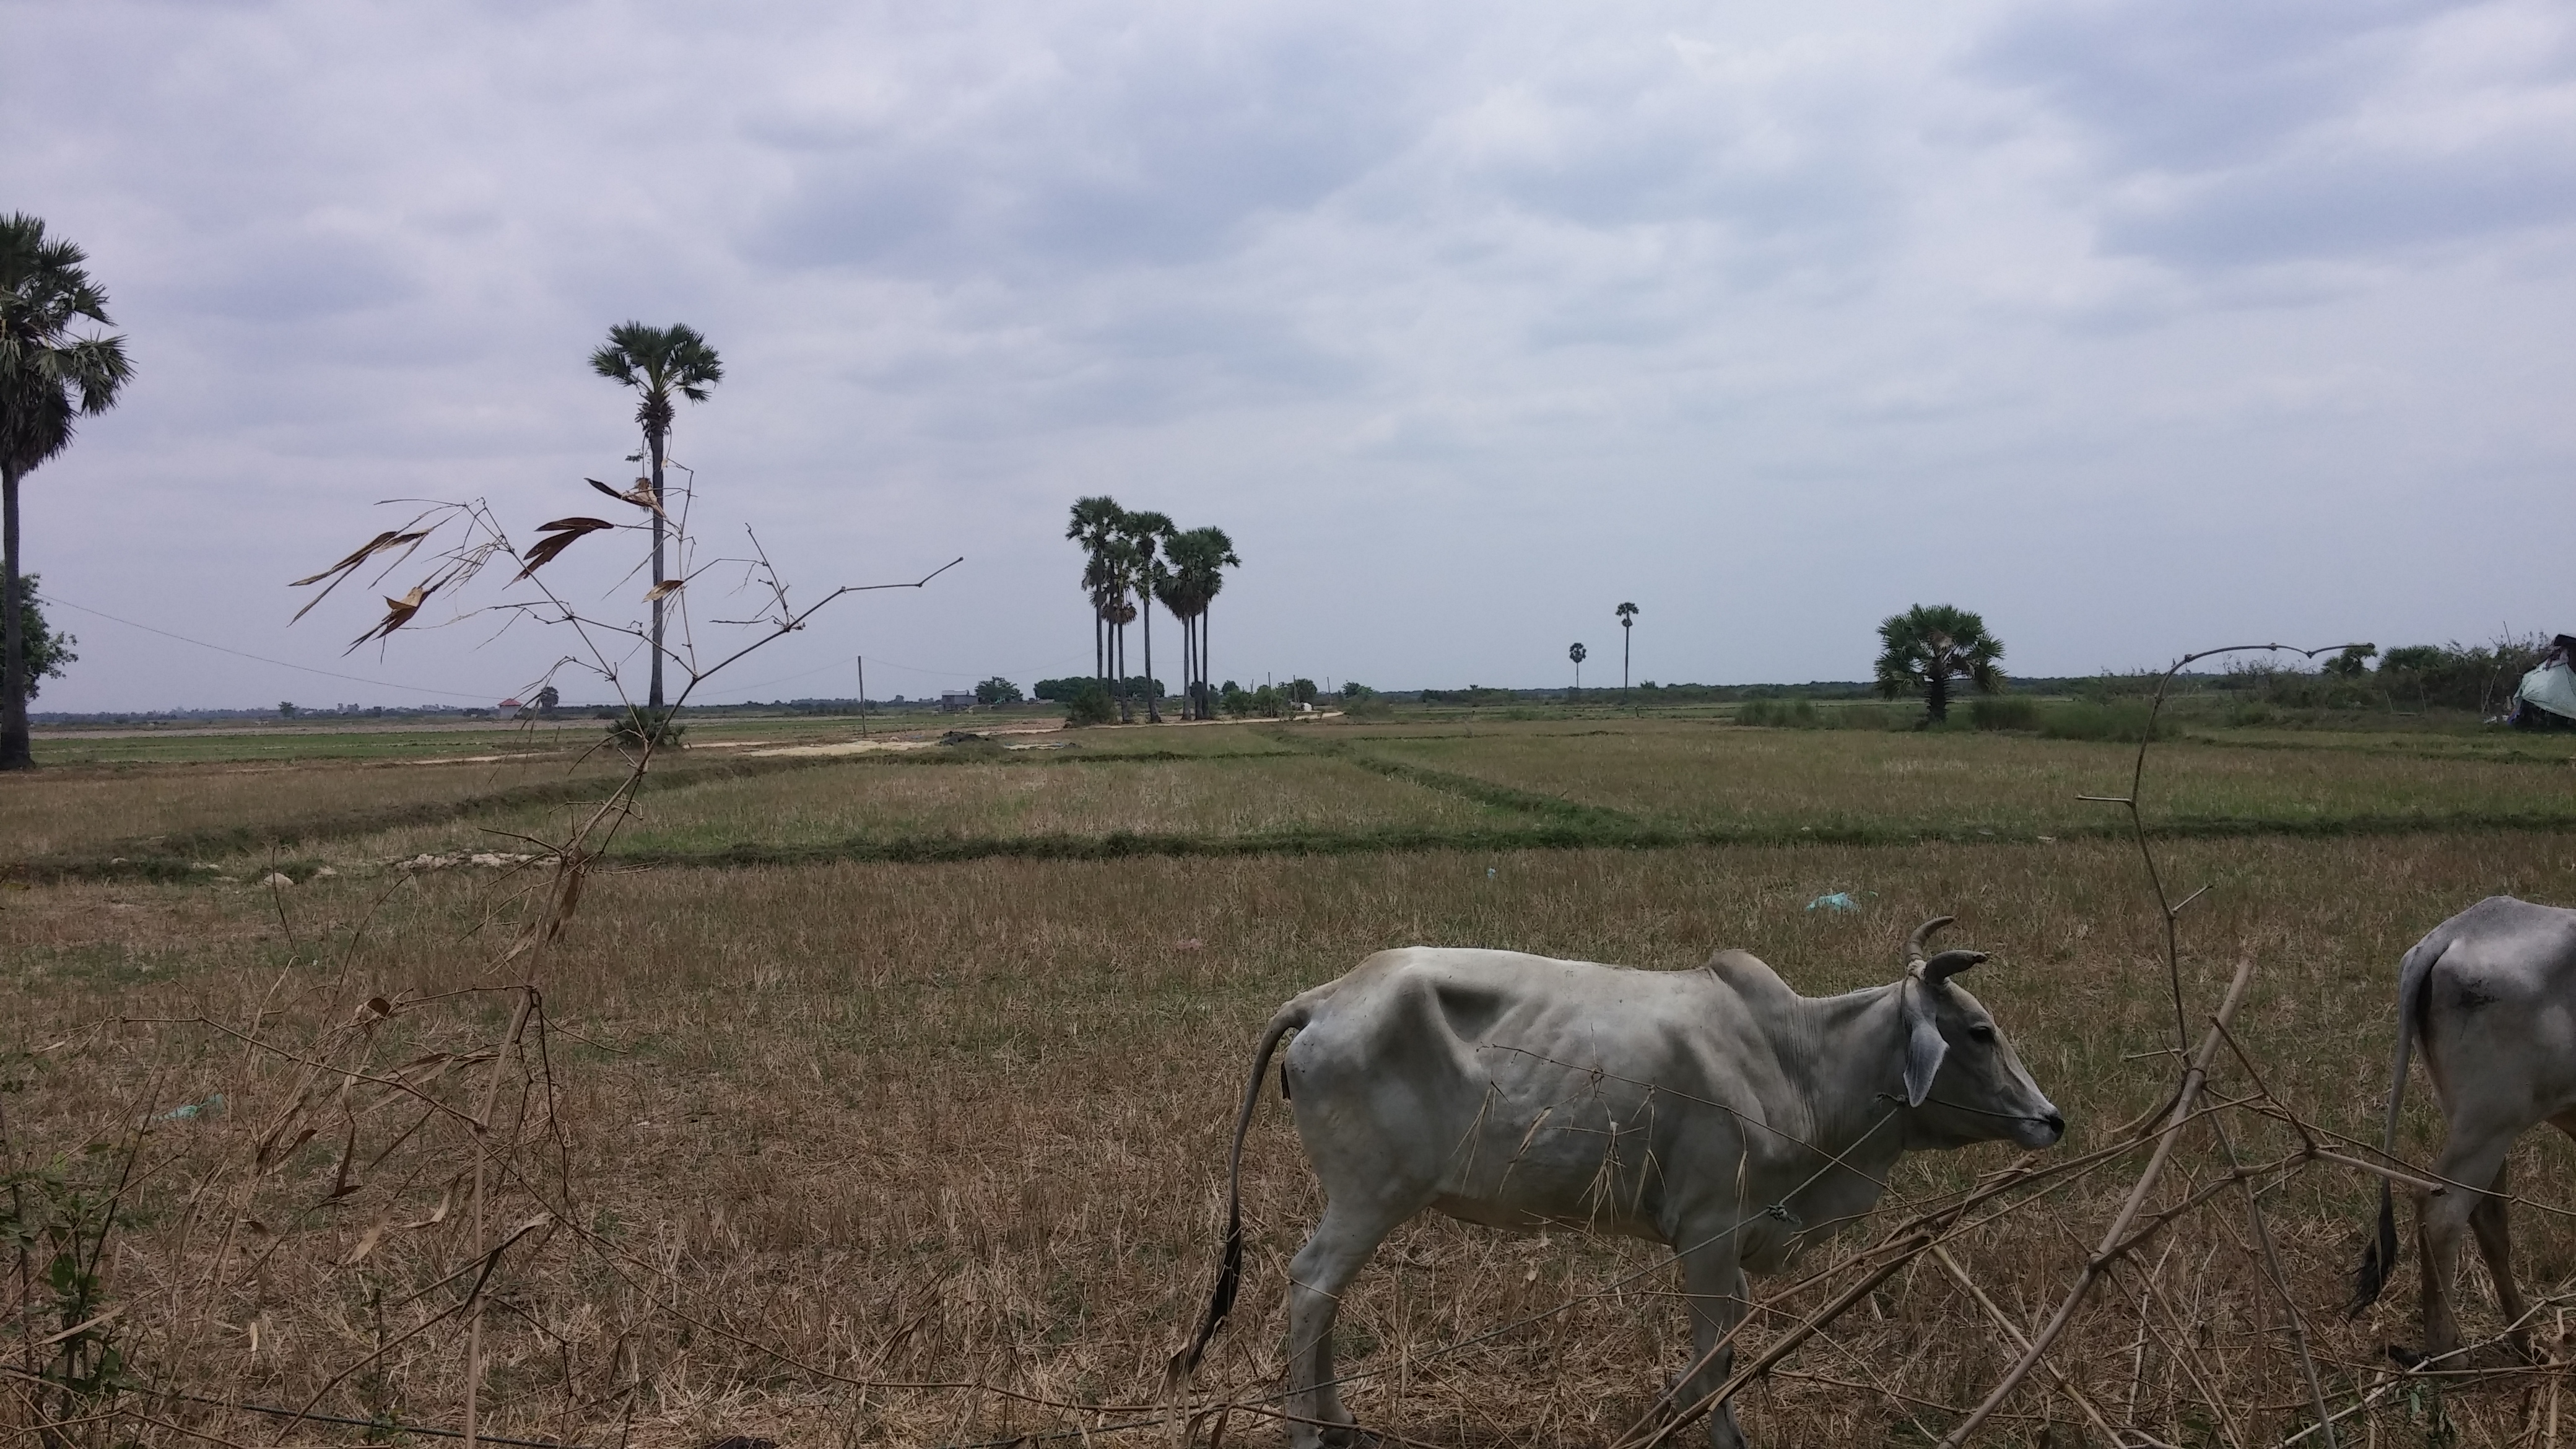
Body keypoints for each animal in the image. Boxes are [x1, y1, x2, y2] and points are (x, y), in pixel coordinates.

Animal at [1169, 917, 2066, 1449]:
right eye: (1978, 1031)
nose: (2050, 1119)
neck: (1797, 1062)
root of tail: (1324, 999)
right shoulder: (1708, 1231)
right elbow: (1715, 1351)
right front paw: (1707, 1429)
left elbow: (1719, 1346)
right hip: (1369, 1196)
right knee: (1312, 1285)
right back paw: (1309, 1432)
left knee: (1323, 1298)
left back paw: (1343, 1424)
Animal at [2350, 896, 2576, 1363]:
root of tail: (2455, 931)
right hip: (2492, 1122)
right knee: (2445, 1212)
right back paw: (2451, 1358)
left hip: (2479, 1124)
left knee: (2485, 1214)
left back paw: (2524, 1341)